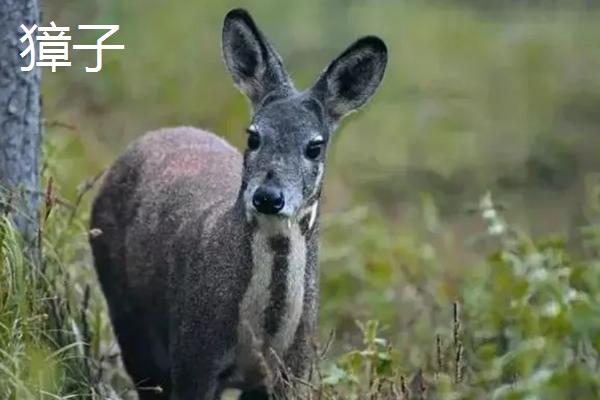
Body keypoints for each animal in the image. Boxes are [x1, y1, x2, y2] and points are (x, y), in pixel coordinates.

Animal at [89, 7, 390, 400]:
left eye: (315, 146)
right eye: (253, 136)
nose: (268, 197)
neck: (262, 333)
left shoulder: (292, 370)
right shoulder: (193, 353)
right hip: (125, 309)